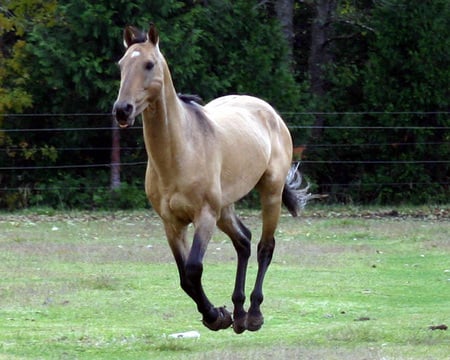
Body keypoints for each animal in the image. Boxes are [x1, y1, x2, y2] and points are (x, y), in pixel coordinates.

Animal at [112, 23, 312, 334]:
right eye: (121, 65)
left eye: (149, 64)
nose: (122, 110)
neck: (180, 152)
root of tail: (271, 113)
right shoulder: (171, 223)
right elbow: (184, 277)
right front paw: (219, 315)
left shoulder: (204, 215)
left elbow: (194, 269)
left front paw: (216, 316)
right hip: (225, 208)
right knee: (243, 241)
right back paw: (239, 314)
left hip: (269, 193)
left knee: (264, 247)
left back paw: (254, 314)